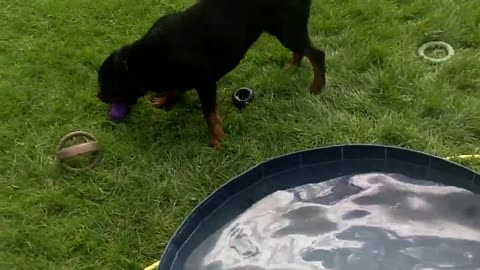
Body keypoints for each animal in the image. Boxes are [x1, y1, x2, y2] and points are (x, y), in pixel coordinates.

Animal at [98, 0, 326, 148]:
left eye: (104, 85)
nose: (98, 95)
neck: (147, 60)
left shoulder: (205, 82)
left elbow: (208, 113)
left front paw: (217, 139)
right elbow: (176, 90)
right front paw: (164, 101)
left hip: (287, 29)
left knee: (317, 55)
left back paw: (317, 86)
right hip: (285, 31)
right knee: (303, 50)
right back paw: (293, 65)